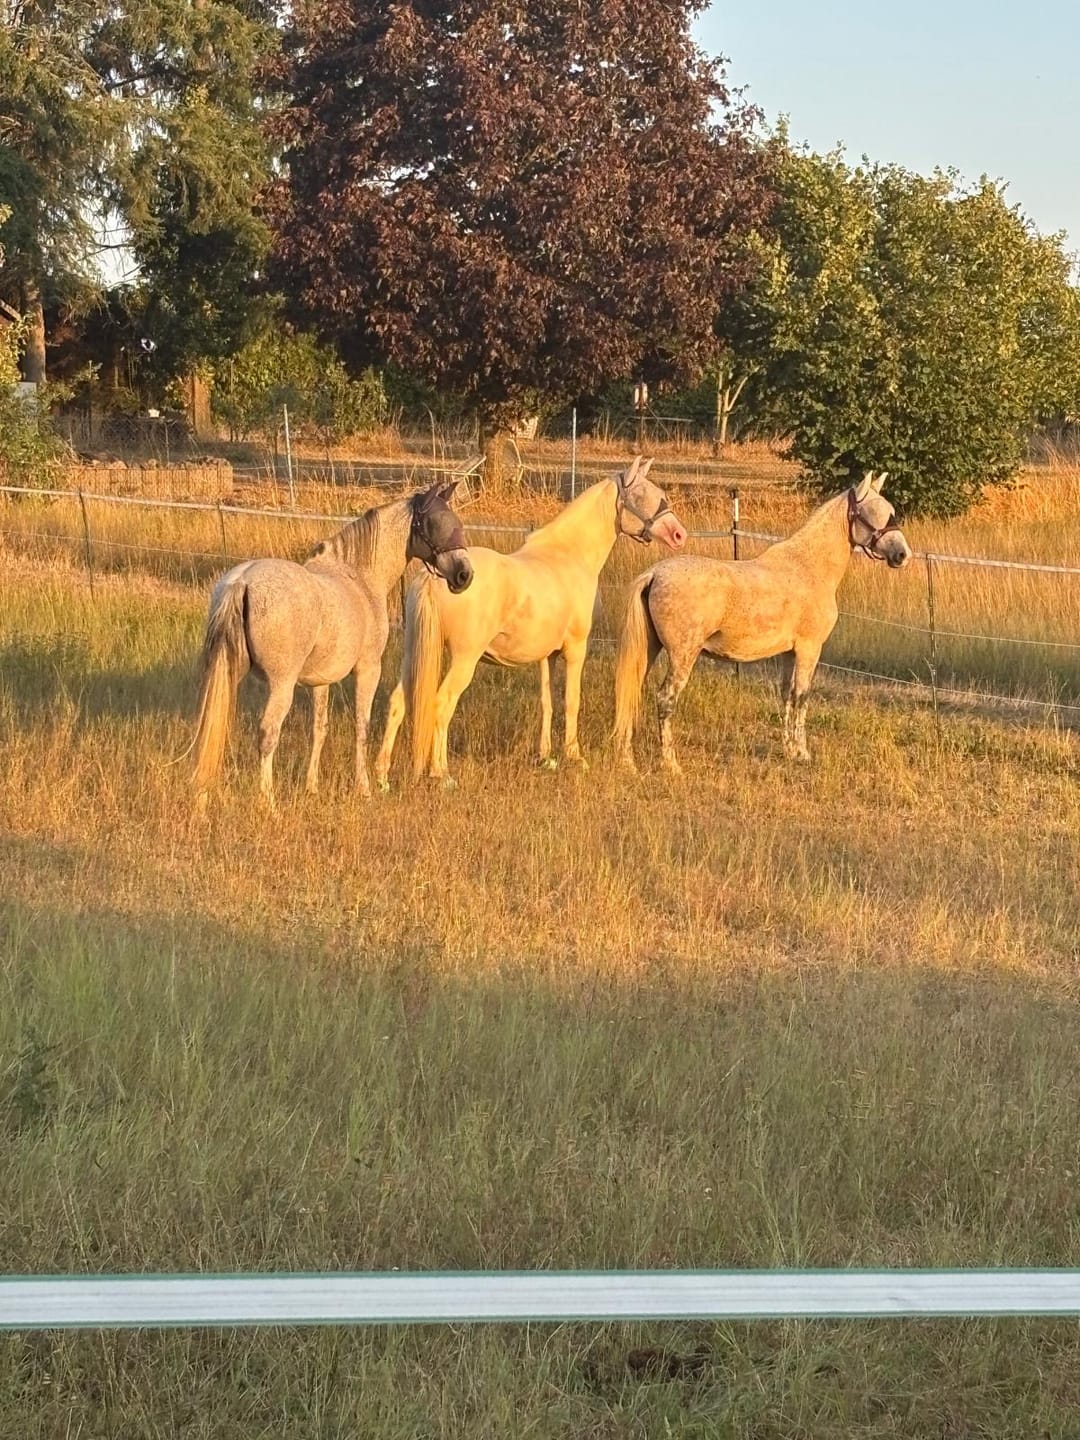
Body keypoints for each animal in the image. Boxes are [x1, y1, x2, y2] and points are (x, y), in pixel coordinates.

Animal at [190, 482, 473, 808]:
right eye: (432, 523)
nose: (464, 575)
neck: (359, 577)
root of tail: (242, 581)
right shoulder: (368, 670)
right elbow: (361, 727)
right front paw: (364, 788)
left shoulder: (320, 682)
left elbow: (319, 729)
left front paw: (311, 787)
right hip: (281, 686)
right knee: (268, 735)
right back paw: (269, 804)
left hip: (226, 675)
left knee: (212, 725)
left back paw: (201, 800)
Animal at [373, 456, 688, 788]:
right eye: (642, 494)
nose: (679, 534)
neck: (567, 555)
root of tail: (436, 577)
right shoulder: (576, 649)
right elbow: (571, 700)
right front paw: (575, 757)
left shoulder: (547, 656)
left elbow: (546, 701)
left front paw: (546, 757)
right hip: (463, 659)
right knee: (441, 703)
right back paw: (441, 773)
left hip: (414, 653)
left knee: (398, 701)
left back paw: (382, 777)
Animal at [613, 472, 912, 773]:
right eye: (874, 512)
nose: (903, 555)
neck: (808, 567)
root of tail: (654, 574)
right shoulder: (809, 649)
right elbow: (802, 696)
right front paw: (803, 753)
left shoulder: (789, 653)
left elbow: (786, 696)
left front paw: (789, 750)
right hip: (682, 656)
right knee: (665, 700)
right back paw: (671, 764)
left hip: (649, 650)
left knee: (631, 693)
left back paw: (627, 761)